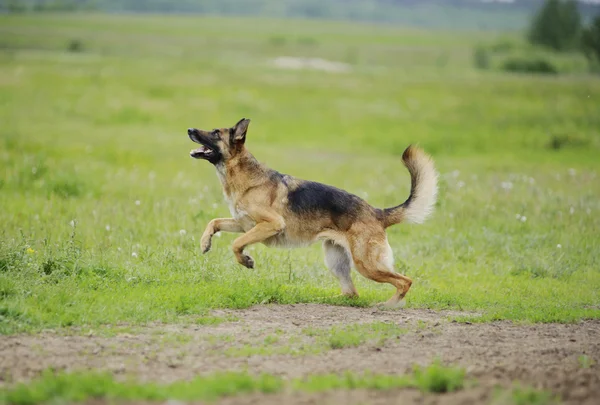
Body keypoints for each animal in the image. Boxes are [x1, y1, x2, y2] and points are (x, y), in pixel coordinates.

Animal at [190, 117, 438, 306]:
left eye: (215, 133)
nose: (189, 129)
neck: (243, 176)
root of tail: (377, 213)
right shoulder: (244, 225)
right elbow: (214, 222)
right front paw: (205, 242)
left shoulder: (270, 224)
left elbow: (236, 244)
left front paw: (246, 260)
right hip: (337, 262)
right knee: (352, 293)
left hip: (367, 265)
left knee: (404, 281)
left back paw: (389, 304)